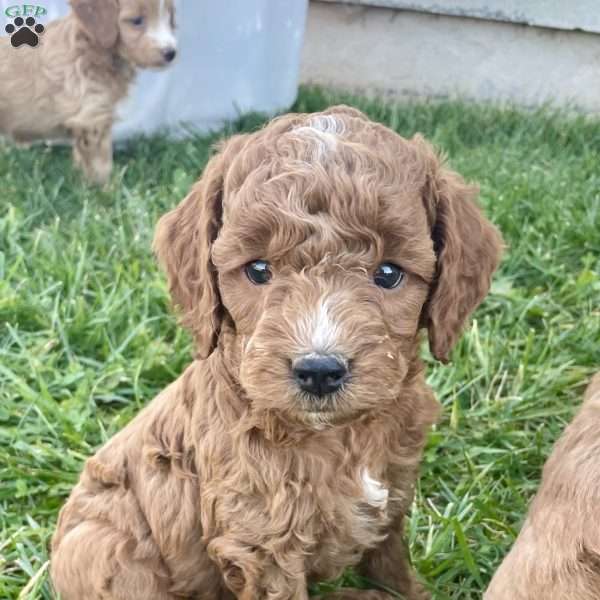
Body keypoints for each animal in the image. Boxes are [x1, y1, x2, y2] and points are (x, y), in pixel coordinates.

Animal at [0, 0, 177, 183]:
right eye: (136, 20)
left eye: (169, 18)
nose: (171, 53)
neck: (91, 48)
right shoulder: (91, 120)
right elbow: (101, 164)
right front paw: (106, 188)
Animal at [49, 105, 504, 596]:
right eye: (258, 270)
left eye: (388, 273)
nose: (319, 370)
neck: (338, 436)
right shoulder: (262, 541)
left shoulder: (393, 494)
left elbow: (391, 563)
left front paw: (412, 592)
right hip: (101, 545)